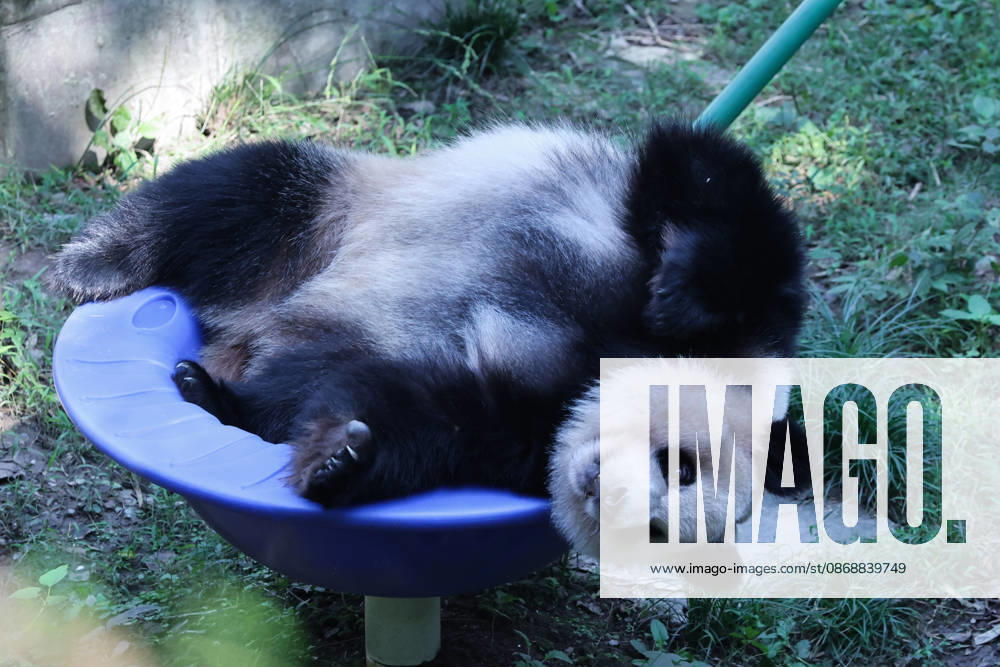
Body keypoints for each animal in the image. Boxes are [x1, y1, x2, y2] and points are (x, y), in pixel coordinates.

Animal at [50, 121, 805, 552]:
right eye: (680, 464)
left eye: (653, 533)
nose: (608, 495)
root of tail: (239, 328)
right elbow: (709, 181)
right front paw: (679, 291)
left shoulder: (524, 431)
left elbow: (432, 414)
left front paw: (339, 460)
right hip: (338, 207)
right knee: (236, 196)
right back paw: (96, 262)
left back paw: (215, 389)